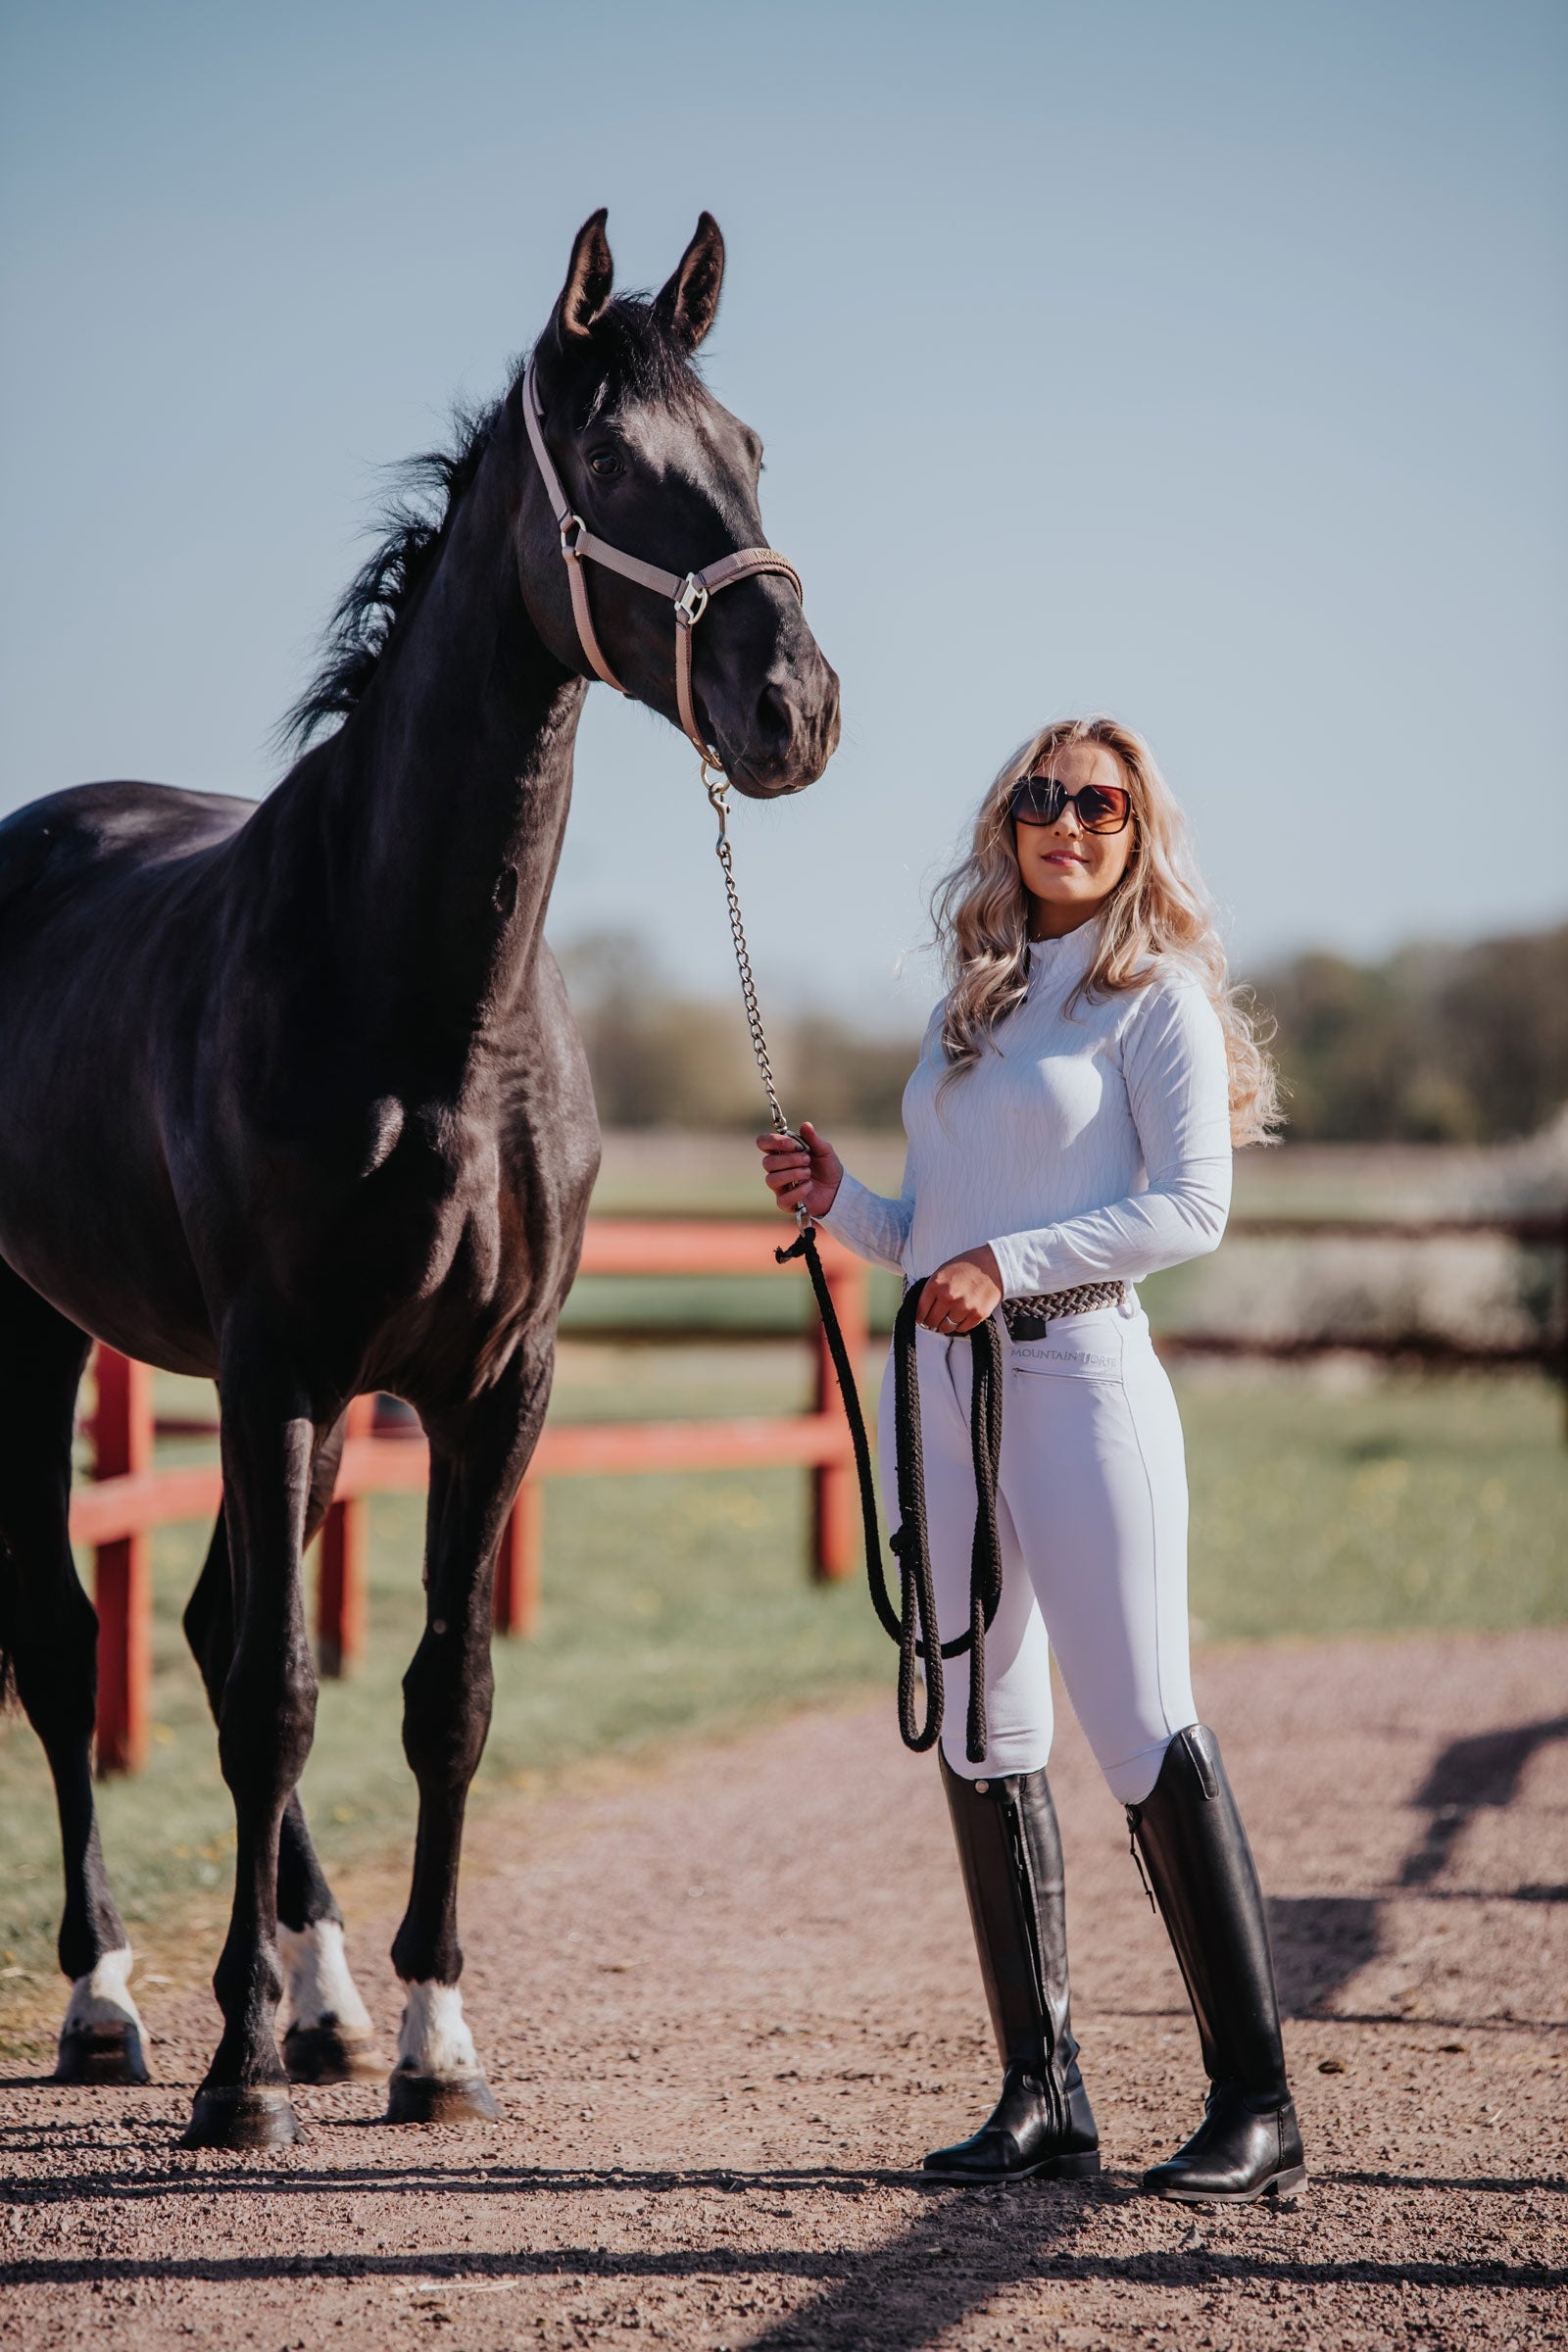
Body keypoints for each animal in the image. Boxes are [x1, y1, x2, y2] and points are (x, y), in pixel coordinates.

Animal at [0, 208, 839, 2150]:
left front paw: (431, 2036)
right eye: (614, 470)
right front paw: (236, 2078)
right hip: (30, 1333)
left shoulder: (488, 1381)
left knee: (202, 1618)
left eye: (750, 449)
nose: (796, 706)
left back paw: (322, 2004)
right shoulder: (279, 1367)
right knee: (65, 1630)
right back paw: (110, 2003)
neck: (425, 996)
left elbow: (442, 1689)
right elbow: (271, 1701)